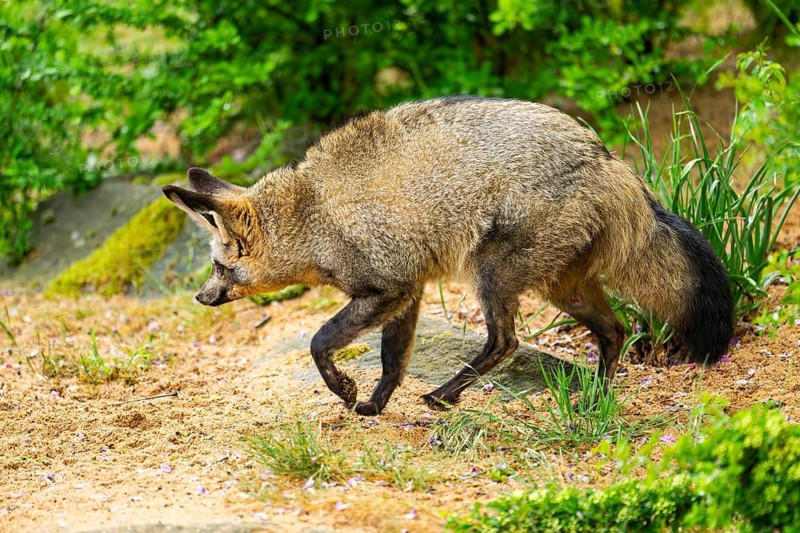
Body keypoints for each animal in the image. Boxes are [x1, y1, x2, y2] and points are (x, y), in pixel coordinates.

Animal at [162, 96, 733, 416]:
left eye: (217, 266)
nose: (201, 297)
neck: (312, 212)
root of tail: (607, 158)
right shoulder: (407, 293)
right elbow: (392, 362)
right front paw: (373, 405)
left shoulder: (385, 288)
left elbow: (319, 341)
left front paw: (344, 389)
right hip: (563, 287)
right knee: (614, 331)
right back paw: (596, 398)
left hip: (495, 277)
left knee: (506, 341)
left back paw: (445, 395)